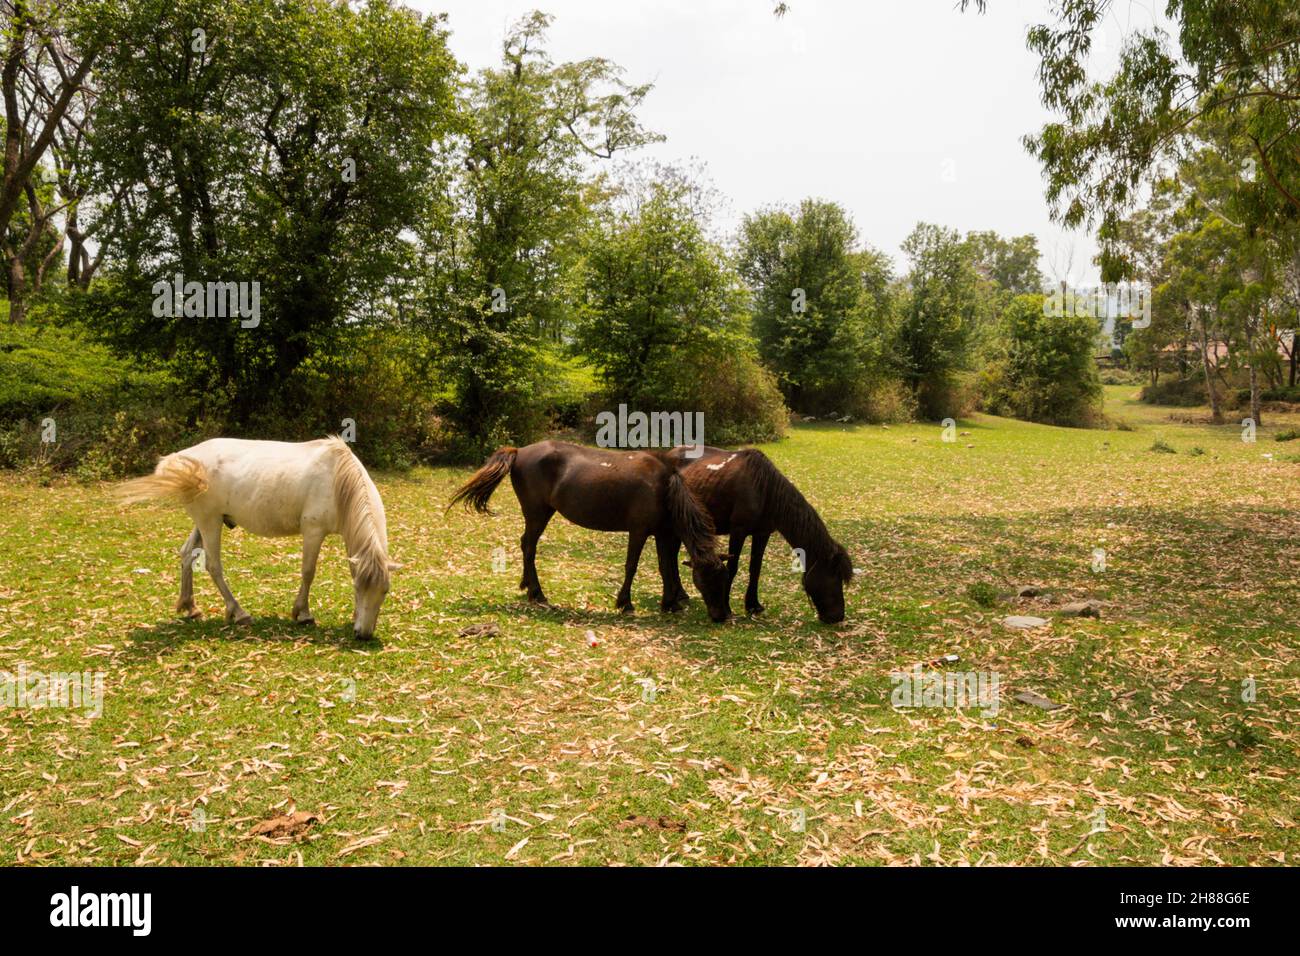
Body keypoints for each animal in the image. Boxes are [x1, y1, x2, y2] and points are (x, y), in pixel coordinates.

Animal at [116, 436, 396, 639]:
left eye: (384, 592)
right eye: (359, 589)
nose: (364, 634)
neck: (337, 479)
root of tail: (183, 459)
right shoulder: (313, 532)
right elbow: (308, 572)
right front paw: (303, 614)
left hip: (203, 522)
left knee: (186, 555)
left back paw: (190, 607)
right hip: (209, 522)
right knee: (213, 566)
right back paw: (239, 613)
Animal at [448, 441, 733, 622]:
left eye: (724, 579)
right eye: (707, 580)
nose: (722, 616)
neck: (664, 486)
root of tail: (519, 451)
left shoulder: (663, 534)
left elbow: (666, 567)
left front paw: (669, 603)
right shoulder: (639, 531)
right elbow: (632, 566)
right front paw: (625, 602)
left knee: (525, 545)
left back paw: (528, 585)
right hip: (537, 514)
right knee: (529, 547)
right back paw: (537, 593)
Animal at [663, 445, 853, 623]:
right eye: (834, 577)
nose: (837, 616)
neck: (764, 491)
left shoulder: (762, 534)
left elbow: (756, 568)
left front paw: (753, 605)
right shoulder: (738, 532)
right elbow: (732, 568)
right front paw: (727, 607)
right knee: (671, 557)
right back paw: (679, 596)